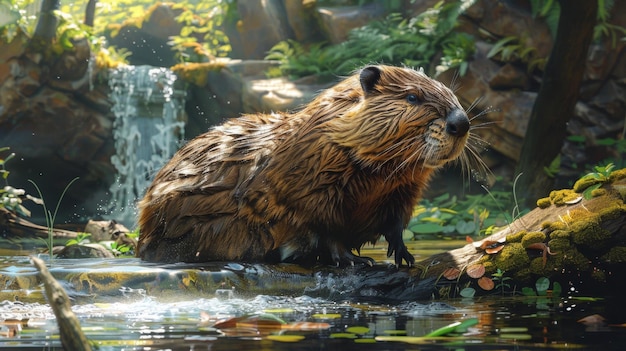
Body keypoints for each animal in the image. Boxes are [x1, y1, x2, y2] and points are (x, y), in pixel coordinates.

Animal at [136, 65, 468, 266]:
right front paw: (356, 259)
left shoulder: (403, 189)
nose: (461, 123)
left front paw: (404, 255)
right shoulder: (306, 186)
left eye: (451, 93)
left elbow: (396, 222)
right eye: (412, 97)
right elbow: (324, 226)